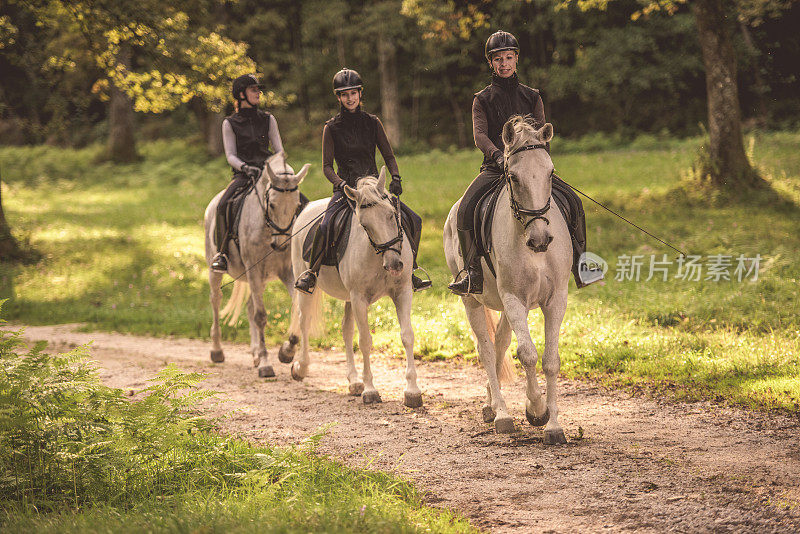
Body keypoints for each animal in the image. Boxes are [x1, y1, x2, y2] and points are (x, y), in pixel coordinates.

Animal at [203, 151, 310, 376]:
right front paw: (266, 364)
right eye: (272, 205)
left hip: (259, 279)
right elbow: (261, 316)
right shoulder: (254, 269)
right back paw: (217, 351)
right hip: (216, 270)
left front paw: (286, 352)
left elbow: (297, 308)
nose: (281, 245)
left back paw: (255, 353)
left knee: (250, 306)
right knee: (216, 300)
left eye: (297, 206)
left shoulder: (287, 272)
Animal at [278, 170, 422, 408]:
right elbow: (365, 341)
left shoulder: (402, 292)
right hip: (307, 285)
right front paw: (371, 390)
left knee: (346, 331)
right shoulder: (359, 298)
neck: (378, 256)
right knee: (304, 321)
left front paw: (412, 391)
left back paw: (354, 381)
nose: (394, 264)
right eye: (364, 224)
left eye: (391, 214)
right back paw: (301, 367)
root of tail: (307, 208)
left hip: (348, 299)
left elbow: (407, 335)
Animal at [444, 119, 568, 446]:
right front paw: (536, 410)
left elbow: (550, 360)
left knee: (499, 344)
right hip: (472, 299)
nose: (540, 239)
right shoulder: (514, 298)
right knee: (486, 349)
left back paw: (491, 404)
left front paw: (553, 426)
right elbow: (527, 353)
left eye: (551, 172)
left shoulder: (555, 300)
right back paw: (501, 415)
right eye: (512, 176)